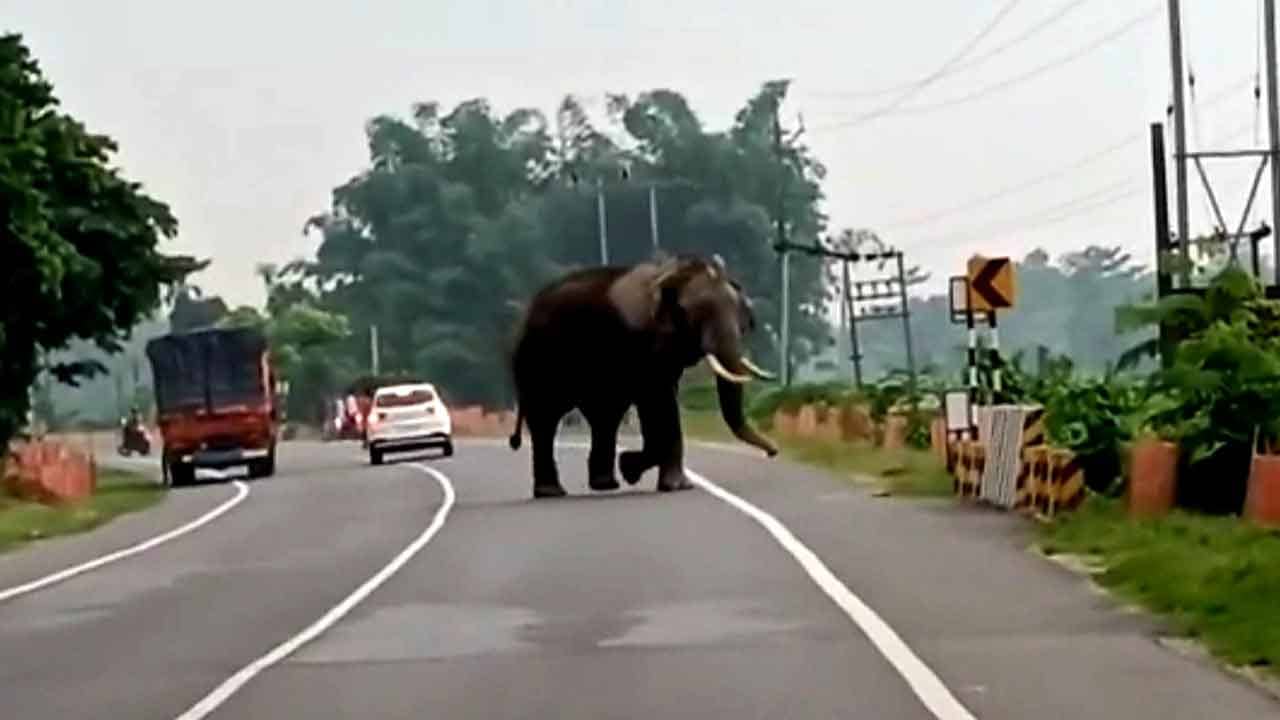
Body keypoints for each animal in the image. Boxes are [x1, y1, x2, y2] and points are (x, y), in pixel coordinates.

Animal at [507, 253, 778, 499]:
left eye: (741, 316)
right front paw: (639, 471)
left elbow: (662, 401)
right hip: (538, 361)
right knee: (547, 417)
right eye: (693, 315)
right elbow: (659, 402)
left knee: (605, 416)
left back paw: (605, 485)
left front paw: (651, 476)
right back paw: (552, 492)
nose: (773, 452)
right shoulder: (642, 343)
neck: (669, 274)